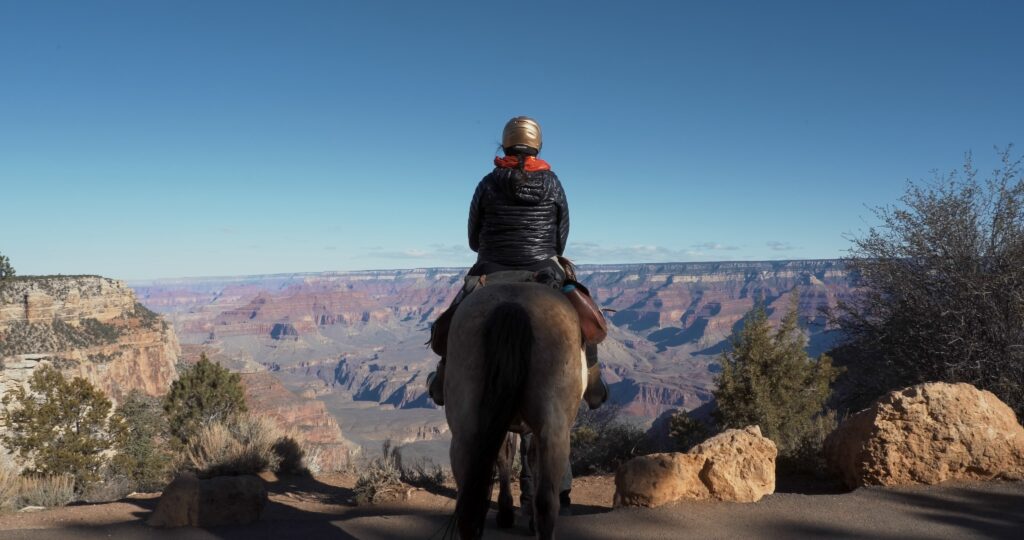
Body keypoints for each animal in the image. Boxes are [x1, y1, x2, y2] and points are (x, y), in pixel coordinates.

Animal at [446, 282, 589, 540]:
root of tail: (512, 304)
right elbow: (523, 458)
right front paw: (516, 513)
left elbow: (507, 456)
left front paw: (509, 511)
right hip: (555, 427)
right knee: (547, 501)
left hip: (465, 430)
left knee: (467, 504)